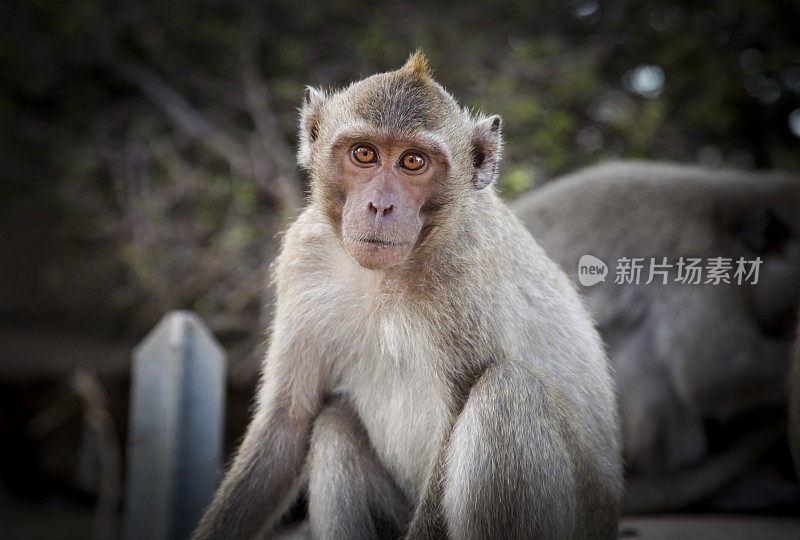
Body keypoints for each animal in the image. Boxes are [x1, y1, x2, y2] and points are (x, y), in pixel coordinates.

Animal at [194, 50, 624, 540]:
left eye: (414, 161)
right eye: (364, 153)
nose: (381, 206)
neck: (382, 276)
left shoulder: (463, 273)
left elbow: (456, 418)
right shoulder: (304, 258)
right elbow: (287, 423)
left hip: (582, 513)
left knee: (507, 392)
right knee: (334, 425)